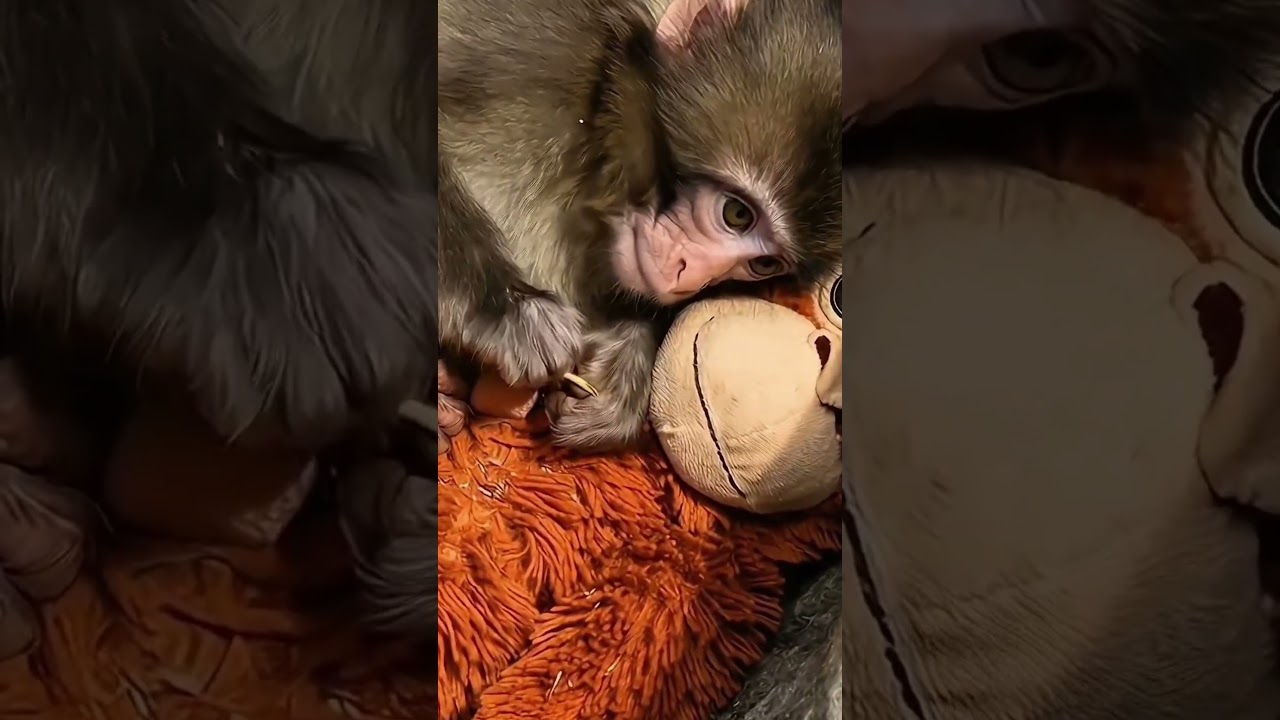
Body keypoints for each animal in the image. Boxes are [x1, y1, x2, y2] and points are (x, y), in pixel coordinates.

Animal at [436, 0, 843, 451]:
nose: (689, 279)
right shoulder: (528, 43)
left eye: (765, 264)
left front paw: (624, 366)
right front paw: (506, 308)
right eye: (737, 214)